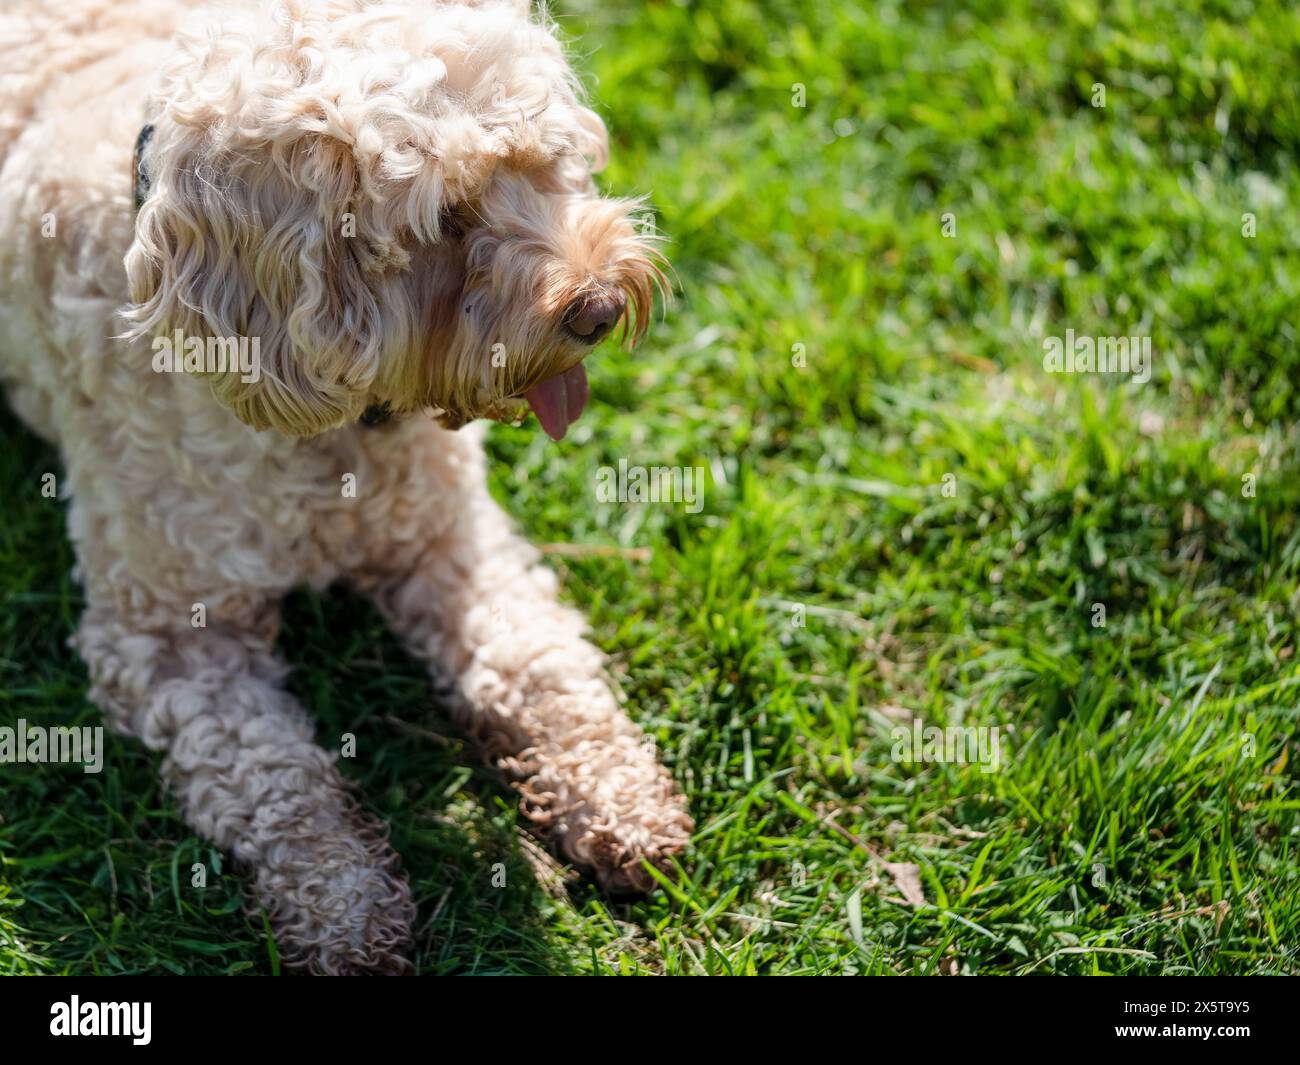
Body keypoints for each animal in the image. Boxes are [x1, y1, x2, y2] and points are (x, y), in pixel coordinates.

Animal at [0, 0, 691, 977]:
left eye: (545, 165)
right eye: (447, 218)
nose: (598, 307)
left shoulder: (454, 546)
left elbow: (539, 664)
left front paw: (617, 794)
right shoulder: (168, 634)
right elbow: (275, 777)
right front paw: (346, 902)